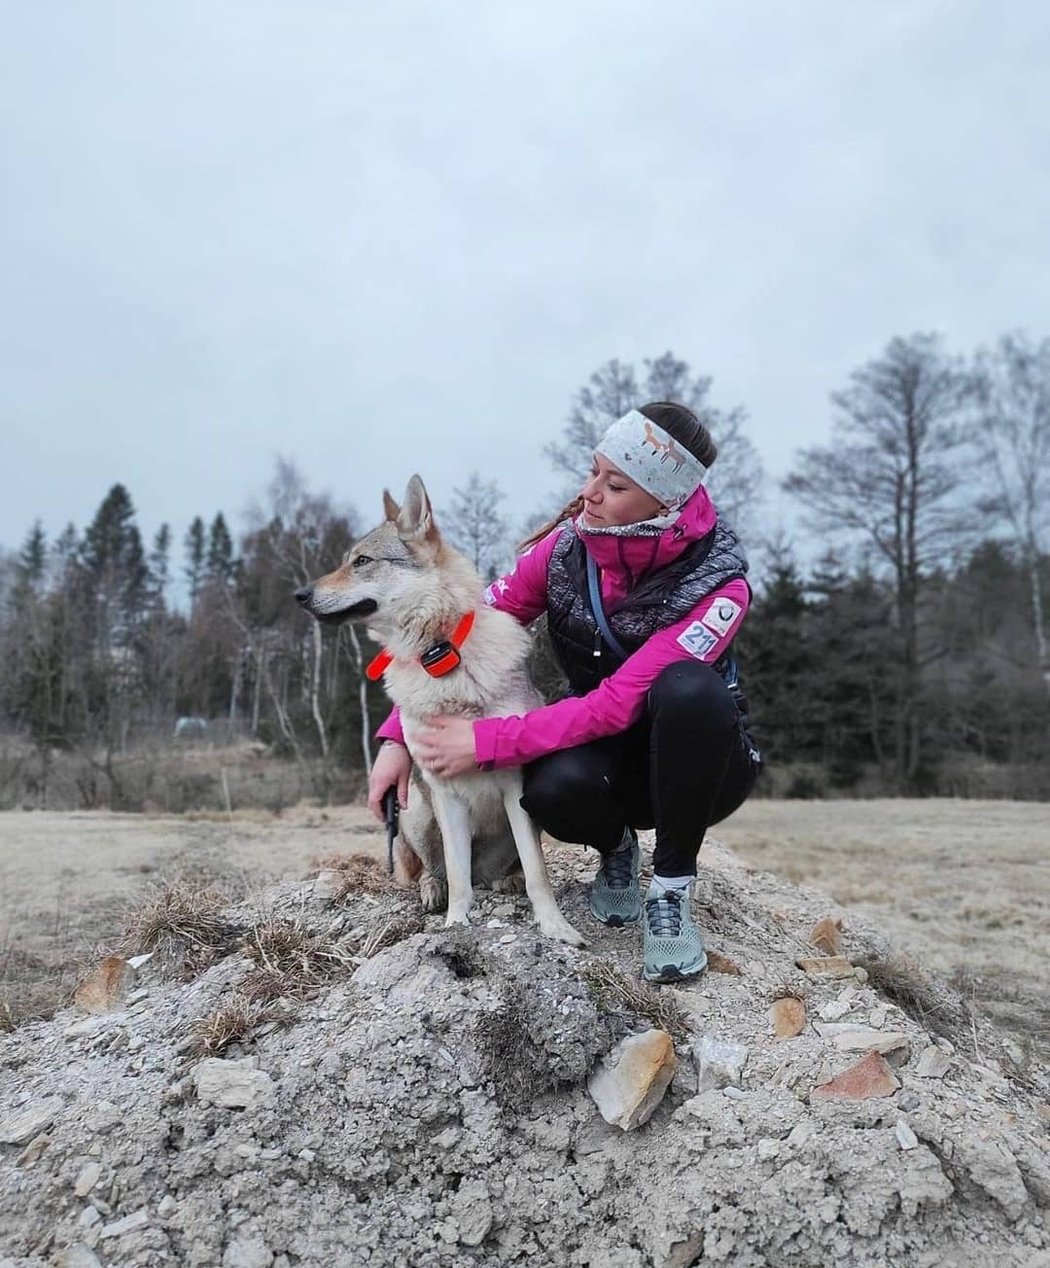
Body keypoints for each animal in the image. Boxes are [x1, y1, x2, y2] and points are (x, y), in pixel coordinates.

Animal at [295, 476, 585, 953]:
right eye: (346, 561)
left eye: (362, 561)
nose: (299, 595)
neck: (439, 656)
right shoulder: (444, 791)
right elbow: (456, 873)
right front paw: (455, 925)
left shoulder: (515, 787)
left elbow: (538, 873)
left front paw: (555, 927)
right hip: (415, 809)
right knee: (438, 870)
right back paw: (433, 890)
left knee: (501, 872)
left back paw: (506, 881)